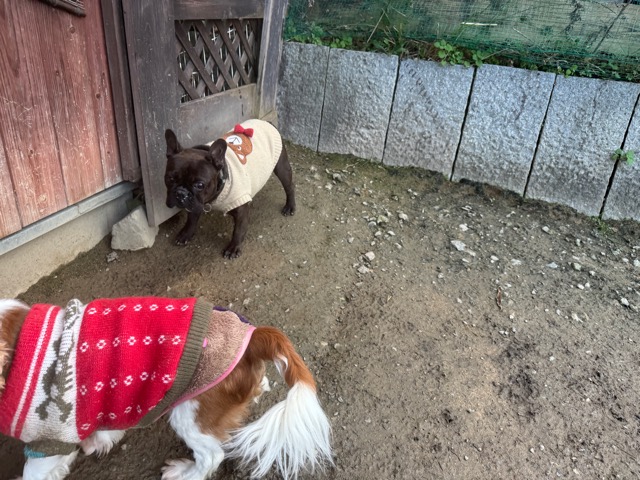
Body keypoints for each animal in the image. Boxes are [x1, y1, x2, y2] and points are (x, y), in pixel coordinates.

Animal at [0, 297, 332, 480]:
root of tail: (252, 337)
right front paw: (99, 438)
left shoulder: (48, 438)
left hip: (192, 411)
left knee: (211, 456)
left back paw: (186, 473)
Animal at [164, 119, 296, 258]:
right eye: (169, 178)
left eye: (199, 185)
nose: (181, 193)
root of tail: (266, 121)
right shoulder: (196, 203)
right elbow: (191, 219)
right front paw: (186, 234)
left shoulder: (241, 208)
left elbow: (238, 230)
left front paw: (233, 248)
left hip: (282, 167)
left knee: (289, 187)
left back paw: (290, 206)